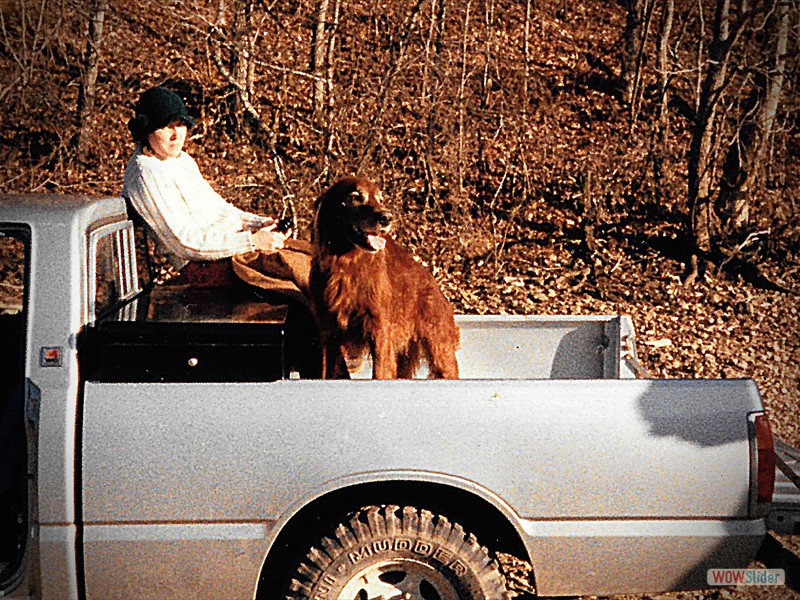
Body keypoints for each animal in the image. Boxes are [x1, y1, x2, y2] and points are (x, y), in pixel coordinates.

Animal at [310, 176, 460, 378]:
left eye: (381, 199)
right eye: (356, 197)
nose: (387, 217)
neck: (345, 264)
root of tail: (434, 284)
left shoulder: (380, 329)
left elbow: (380, 372)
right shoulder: (328, 332)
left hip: (440, 349)